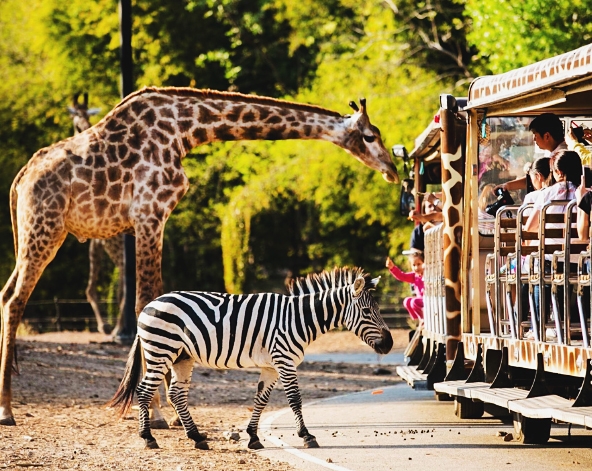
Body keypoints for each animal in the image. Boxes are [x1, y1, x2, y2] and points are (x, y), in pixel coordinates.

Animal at [0, 85, 400, 428]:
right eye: (369, 135)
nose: (392, 170)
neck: (184, 129)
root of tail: (20, 180)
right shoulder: (149, 214)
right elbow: (146, 302)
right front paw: (158, 415)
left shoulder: (152, 219)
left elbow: (155, 302)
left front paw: (171, 414)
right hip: (46, 228)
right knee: (17, 299)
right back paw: (7, 411)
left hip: (34, 232)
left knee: (6, 294)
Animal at [108, 270, 390, 450]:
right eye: (367, 311)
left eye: (377, 309)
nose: (388, 344)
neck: (298, 319)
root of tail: (149, 305)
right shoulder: (284, 360)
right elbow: (295, 399)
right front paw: (306, 436)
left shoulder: (271, 366)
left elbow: (261, 400)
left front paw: (253, 437)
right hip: (160, 350)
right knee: (144, 391)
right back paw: (148, 438)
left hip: (182, 357)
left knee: (177, 394)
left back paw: (197, 438)